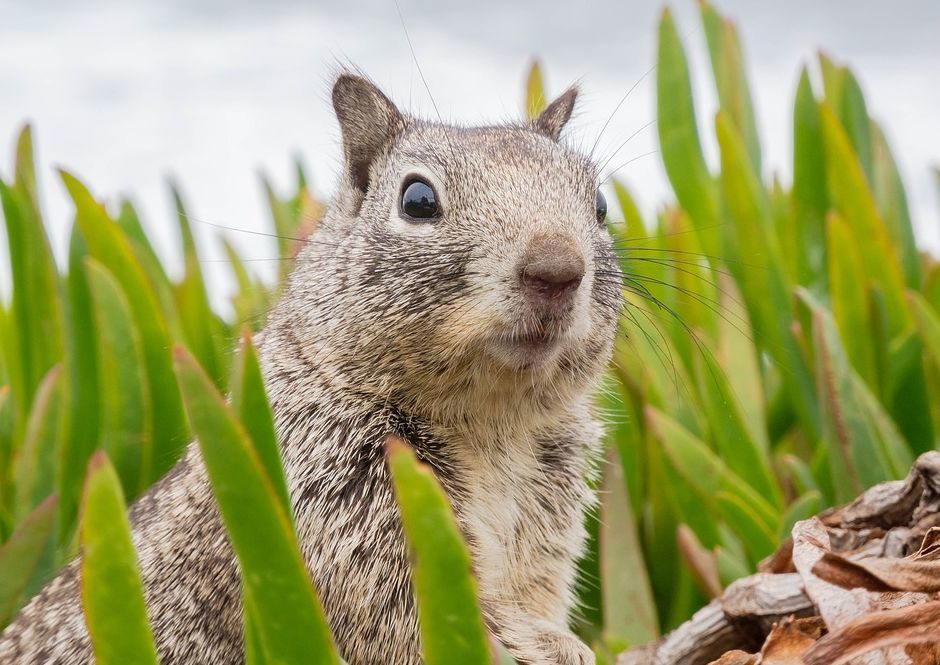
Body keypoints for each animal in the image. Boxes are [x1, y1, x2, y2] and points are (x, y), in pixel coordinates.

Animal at [0, 72, 624, 664]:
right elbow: (426, 622)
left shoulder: (549, 516)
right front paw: (551, 648)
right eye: (418, 200)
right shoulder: (337, 503)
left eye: (599, 204)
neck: (493, 421)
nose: (556, 269)